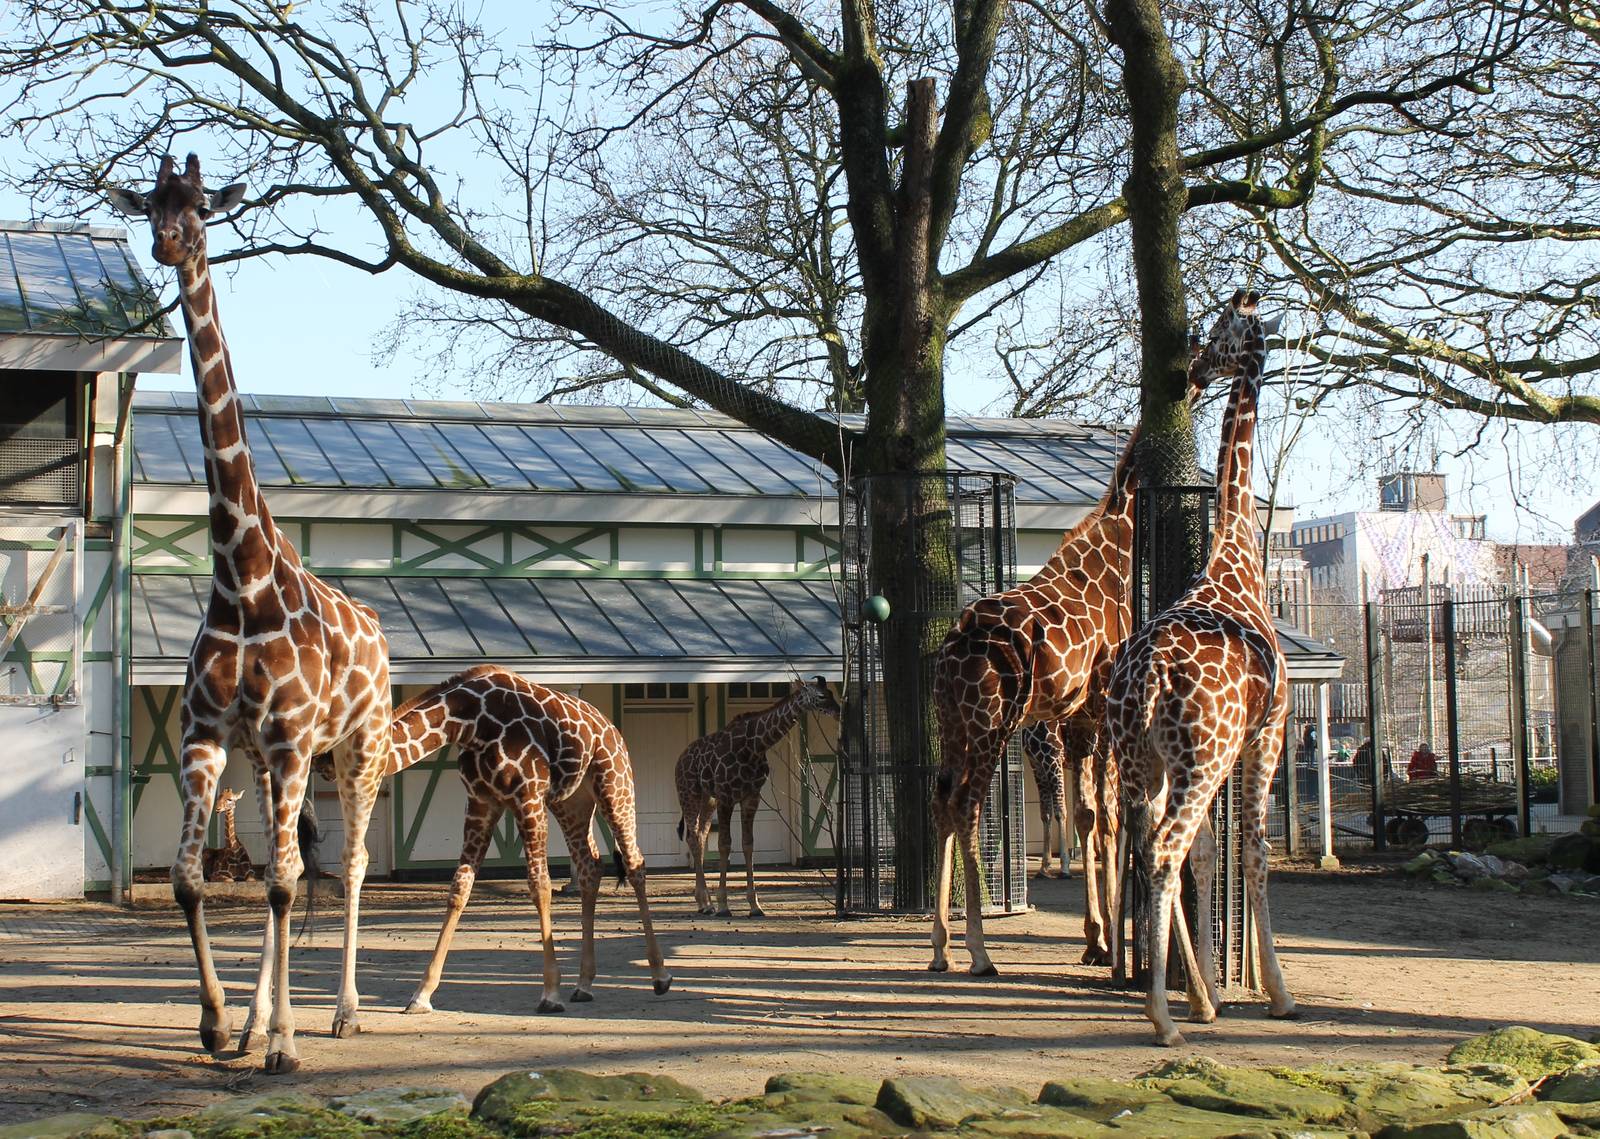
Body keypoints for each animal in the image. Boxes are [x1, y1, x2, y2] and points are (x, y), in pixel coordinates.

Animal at [108, 156, 393, 1074]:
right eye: (148, 204)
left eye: (202, 207)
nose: (169, 243)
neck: (241, 577)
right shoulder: (209, 733)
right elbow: (192, 876)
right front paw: (217, 1021)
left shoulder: (295, 738)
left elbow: (283, 881)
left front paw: (285, 1045)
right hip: (274, 761)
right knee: (290, 858)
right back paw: (253, 1022)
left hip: (357, 744)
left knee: (352, 861)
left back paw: (341, 1014)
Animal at [375, 665, 672, 1014]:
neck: (467, 720)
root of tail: (613, 728)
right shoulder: (481, 802)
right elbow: (460, 887)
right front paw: (421, 994)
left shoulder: (527, 796)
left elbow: (540, 885)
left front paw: (550, 993)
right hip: (572, 803)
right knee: (590, 867)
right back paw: (584, 984)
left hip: (615, 787)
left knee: (635, 863)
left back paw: (660, 976)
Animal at [675, 677, 840, 917]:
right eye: (820, 696)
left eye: (831, 693)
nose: (838, 711)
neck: (755, 745)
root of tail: (680, 759)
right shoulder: (726, 796)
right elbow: (725, 845)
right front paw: (724, 905)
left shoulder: (751, 796)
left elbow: (748, 844)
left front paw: (755, 905)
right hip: (689, 793)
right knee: (693, 838)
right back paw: (707, 903)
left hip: (708, 799)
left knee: (700, 836)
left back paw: (704, 903)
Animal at [929, 340, 1217, 976]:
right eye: (1211, 349)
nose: (1203, 374)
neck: (1117, 539)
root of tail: (955, 647)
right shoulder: (1105, 703)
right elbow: (1109, 816)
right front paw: (1107, 941)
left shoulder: (1076, 717)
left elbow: (1089, 815)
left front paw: (1096, 937)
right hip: (991, 724)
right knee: (966, 806)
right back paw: (979, 952)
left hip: (953, 723)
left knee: (940, 798)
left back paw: (938, 947)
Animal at [1104, 289, 1296, 1047]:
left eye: (1219, 332)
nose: (1194, 365)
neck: (1237, 550)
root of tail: (1148, 674)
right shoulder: (1268, 732)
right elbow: (1254, 850)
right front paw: (1275, 991)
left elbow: (1213, 852)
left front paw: (1212, 985)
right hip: (1201, 755)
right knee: (1165, 850)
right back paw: (1163, 1019)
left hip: (1145, 758)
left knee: (1148, 846)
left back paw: (1186, 1003)